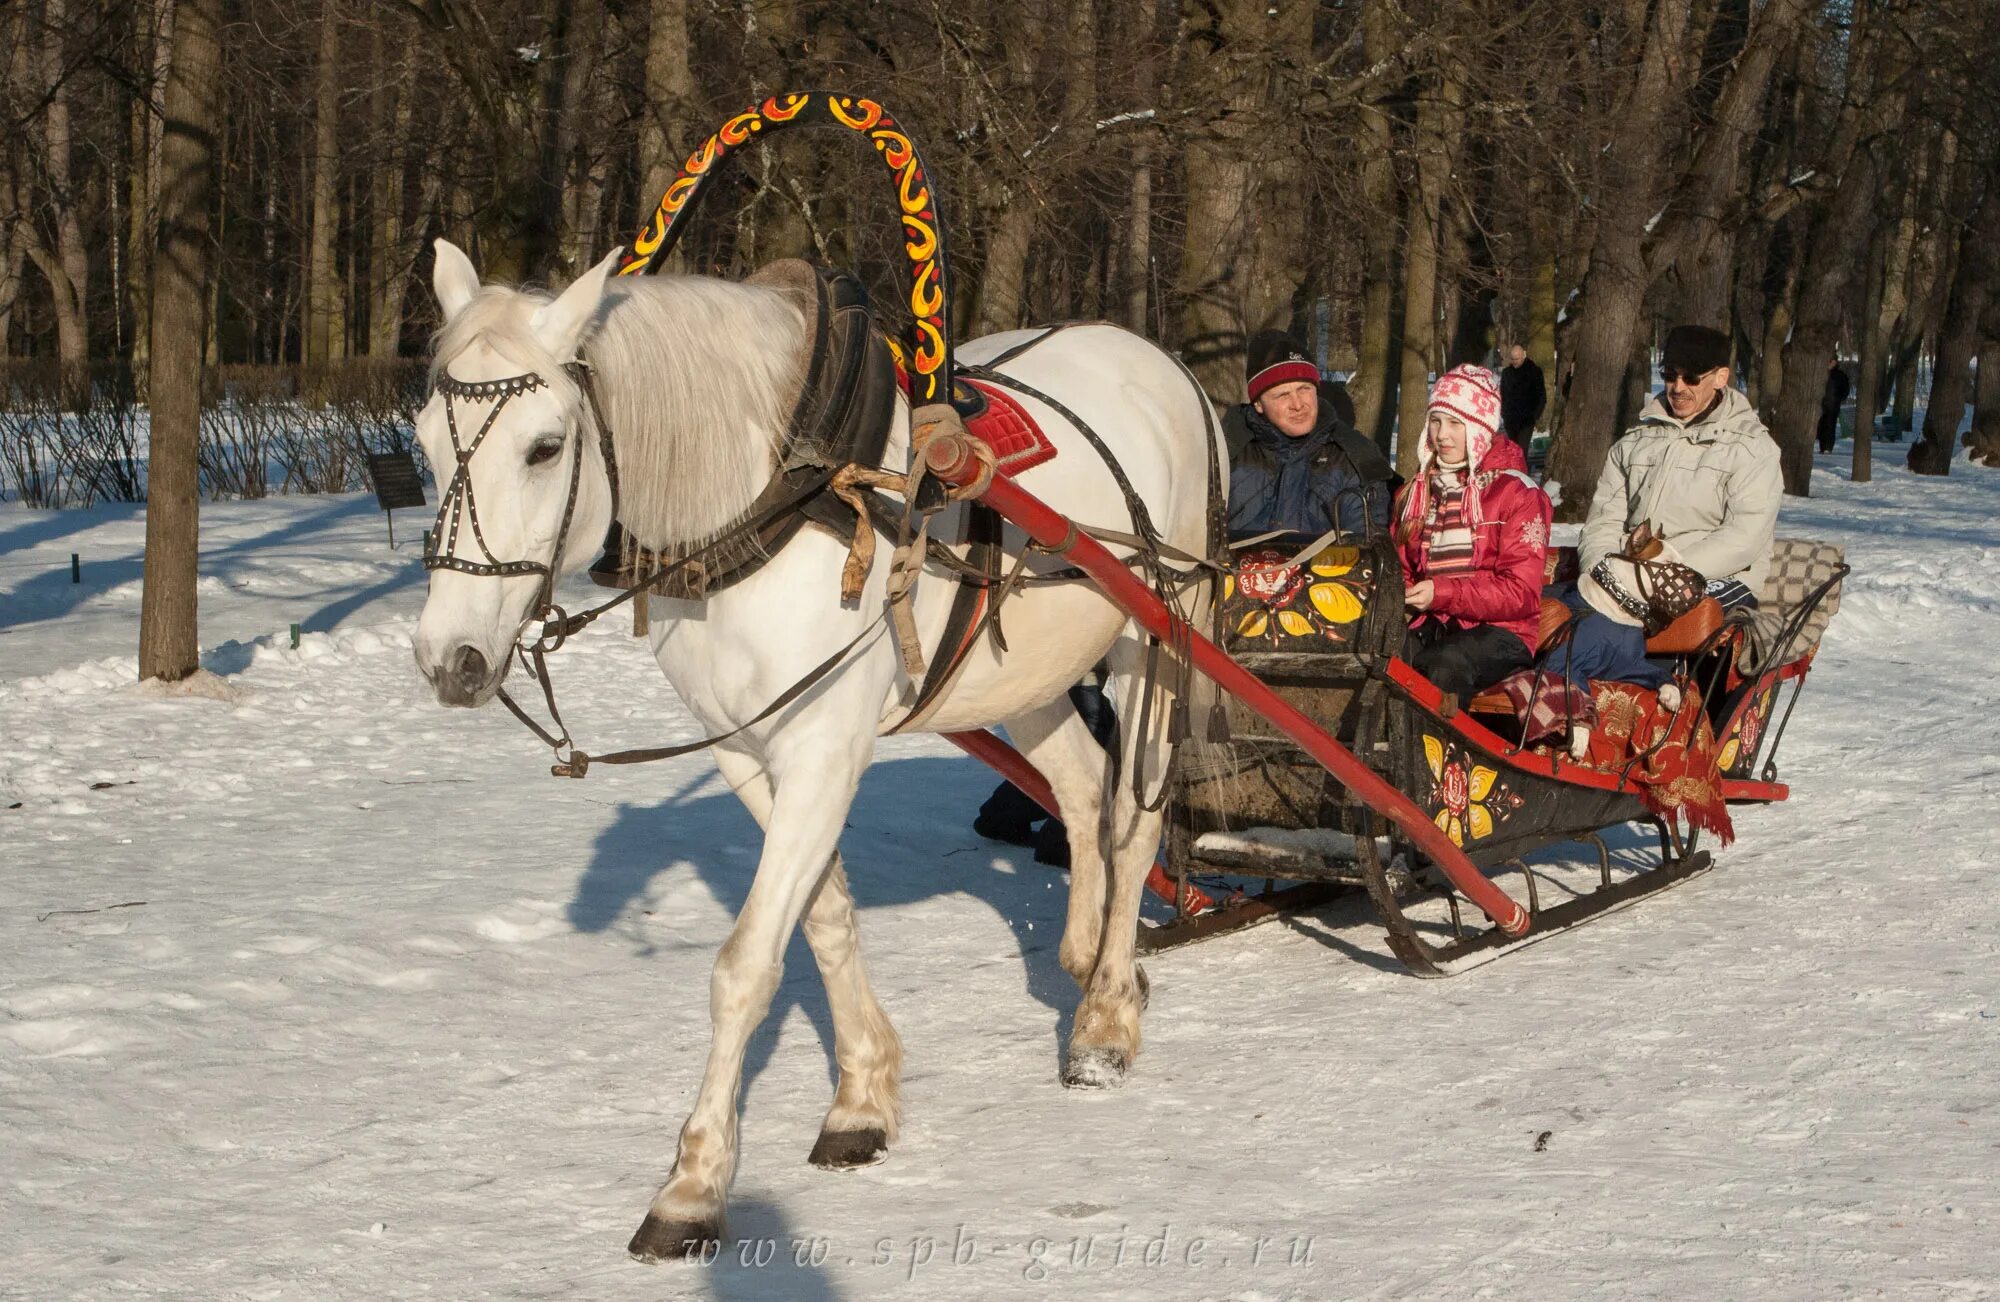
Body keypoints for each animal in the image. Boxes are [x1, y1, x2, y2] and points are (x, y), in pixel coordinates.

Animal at [408, 239, 1216, 1256]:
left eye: (545, 448)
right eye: (424, 442)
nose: (450, 660)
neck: (775, 495)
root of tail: (1154, 359)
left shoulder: (823, 744)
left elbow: (745, 964)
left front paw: (692, 1185)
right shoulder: (751, 750)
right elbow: (824, 919)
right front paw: (862, 1097)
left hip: (1162, 634)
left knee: (1134, 816)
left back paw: (1105, 1018)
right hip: (1025, 670)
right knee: (1081, 785)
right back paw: (1087, 958)